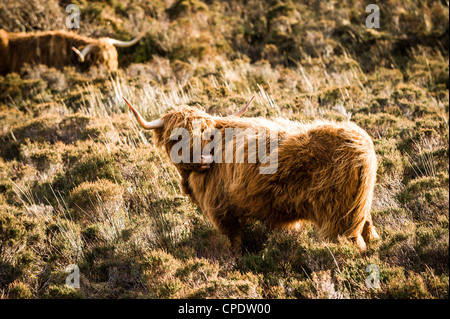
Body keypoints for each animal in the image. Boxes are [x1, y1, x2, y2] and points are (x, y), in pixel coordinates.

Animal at [123, 96, 380, 251]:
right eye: (176, 138)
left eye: (205, 133)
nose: (205, 160)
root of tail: (361, 143)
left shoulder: (222, 212)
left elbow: (234, 244)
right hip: (360, 210)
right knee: (370, 233)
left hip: (338, 218)